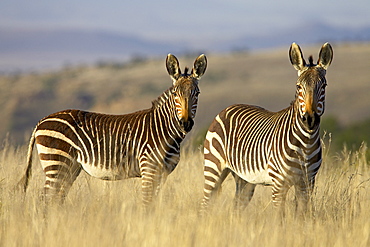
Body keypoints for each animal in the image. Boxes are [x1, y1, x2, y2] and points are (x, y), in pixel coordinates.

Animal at [18, 53, 207, 206]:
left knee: (56, 199)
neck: (164, 130)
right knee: (45, 199)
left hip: (69, 168)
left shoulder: (162, 173)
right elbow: (146, 203)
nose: (186, 124)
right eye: (175, 94)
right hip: (56, 163)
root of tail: (41, 121)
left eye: (197, 94)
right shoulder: (149, 169)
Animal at [201, 43, 334, 214]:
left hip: (244, 179)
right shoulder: (279, 184)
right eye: (298, 87)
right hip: (213, 167)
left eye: (324, 86)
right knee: (205, 204)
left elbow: (303, 215)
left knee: (237, 207)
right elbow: (280, 216)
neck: (306, 143)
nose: (309, 119)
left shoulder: (307, 182)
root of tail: (226, 108)